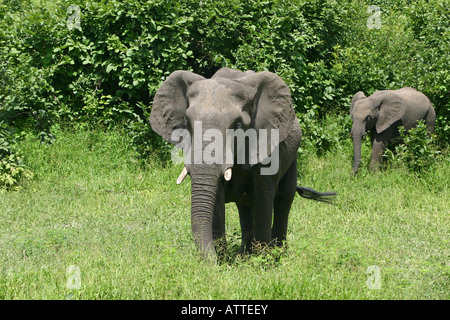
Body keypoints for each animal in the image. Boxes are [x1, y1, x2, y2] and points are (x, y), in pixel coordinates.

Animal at [150, 67, 334, 262]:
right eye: (186, 123)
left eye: (238, 125)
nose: (210, 263)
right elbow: (217, 198)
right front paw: (224, 261)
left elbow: (263, 196)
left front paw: (262, 262)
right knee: (245, 206)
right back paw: (245, 255)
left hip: (292, 157)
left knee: (284, 199)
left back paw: (277, 254)